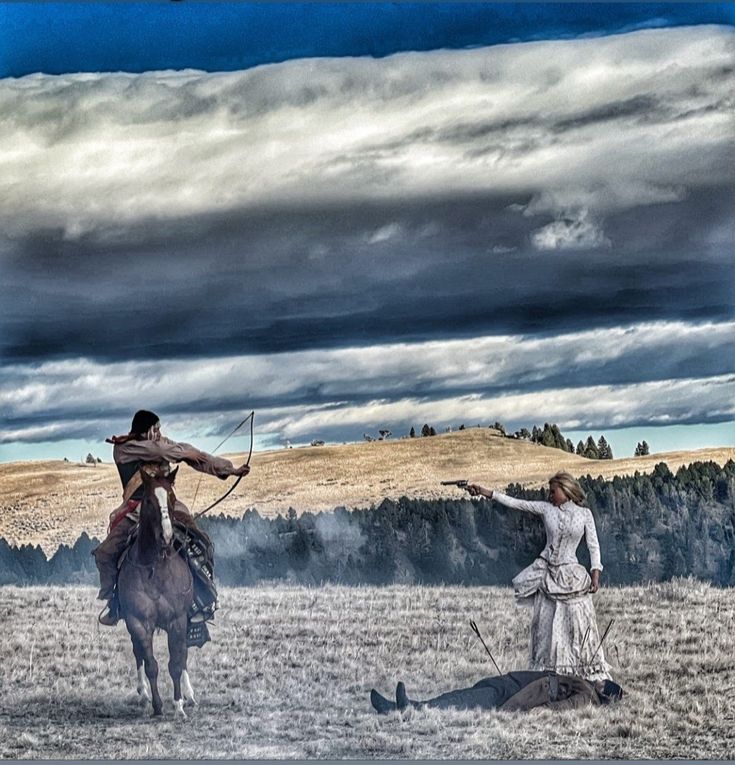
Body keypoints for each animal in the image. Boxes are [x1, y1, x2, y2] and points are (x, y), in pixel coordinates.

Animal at [116, 462, 196, 720]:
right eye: (149, 500)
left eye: (171, 497)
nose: (167, 536)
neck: (156, 569)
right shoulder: (138, 622)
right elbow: (151, 663)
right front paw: (157, 705)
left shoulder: (177, 620)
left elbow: (176, 662)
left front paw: (179, 705)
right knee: (138, 654)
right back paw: (143, 695)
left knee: (184, 654)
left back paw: (189, 695)